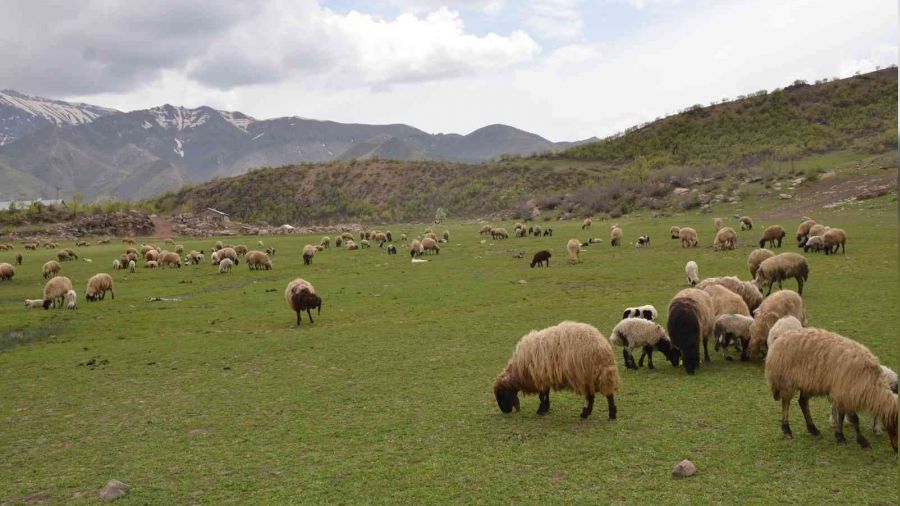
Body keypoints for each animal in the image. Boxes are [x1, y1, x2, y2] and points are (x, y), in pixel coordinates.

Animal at [492, 322, 620, 422]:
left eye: (501, 394)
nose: (505, 411)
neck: (519, 369)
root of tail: (604, 349)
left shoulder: (540, 376)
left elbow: (542, 395)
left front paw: (541, 410)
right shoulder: (545, 376)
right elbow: (546, 394)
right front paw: (546, 408)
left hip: (588, 374)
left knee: (603, 395)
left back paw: (608, 415)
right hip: (591, 376)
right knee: (594, 396)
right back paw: (588, 414)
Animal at [764, 330, 896, 452]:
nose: (896, 449)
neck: (871, 385)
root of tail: (779, 339)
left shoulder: (842, 393)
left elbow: (842, 415)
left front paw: (840, 436)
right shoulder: (846, 392)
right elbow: (854, 418)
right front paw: (862, 441)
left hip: (807, 383)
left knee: (803, 402)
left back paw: (813, 429)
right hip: (787, 380)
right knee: (786, 403)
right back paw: (787, 430)